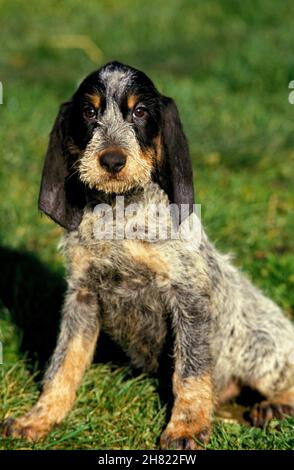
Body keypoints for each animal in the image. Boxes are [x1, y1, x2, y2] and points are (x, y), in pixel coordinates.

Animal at [2, 60, 294, 450]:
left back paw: (275, 406)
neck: (119, 216)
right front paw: (40, 417)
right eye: (89, 112)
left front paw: (186, 427)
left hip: (260, 348)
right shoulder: (82, 297)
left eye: (140, 112)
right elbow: (63, 364)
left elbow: (191, 371)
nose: (112, 160)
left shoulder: (188, 297)